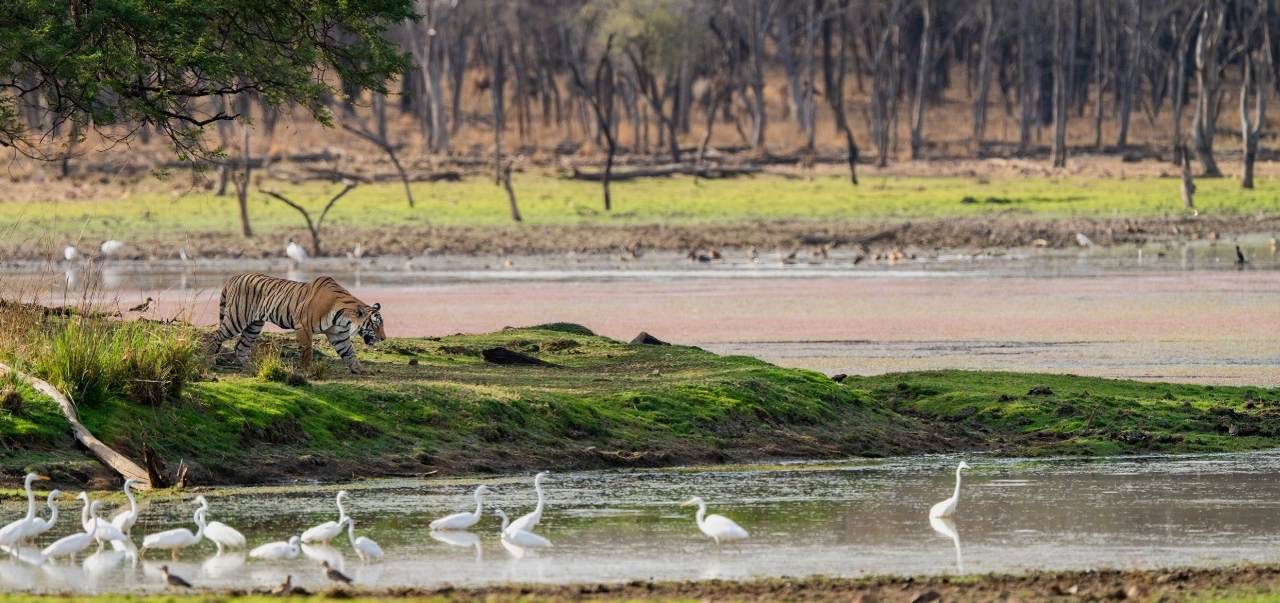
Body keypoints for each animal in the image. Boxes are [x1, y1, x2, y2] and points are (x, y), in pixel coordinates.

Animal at [210, 273, 386, 374]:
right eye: (375, 325)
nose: (383, 338)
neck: (344, 317)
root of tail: (234, 277)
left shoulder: (338, 334)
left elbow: (349, 352)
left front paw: (359, 369)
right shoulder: (303, 326)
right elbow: (307, 351)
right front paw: (308, 371)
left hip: (254, 325)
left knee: (240, 347)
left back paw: (251, 366)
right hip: (236, 319)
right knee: (215, 336)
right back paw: (210, 360)